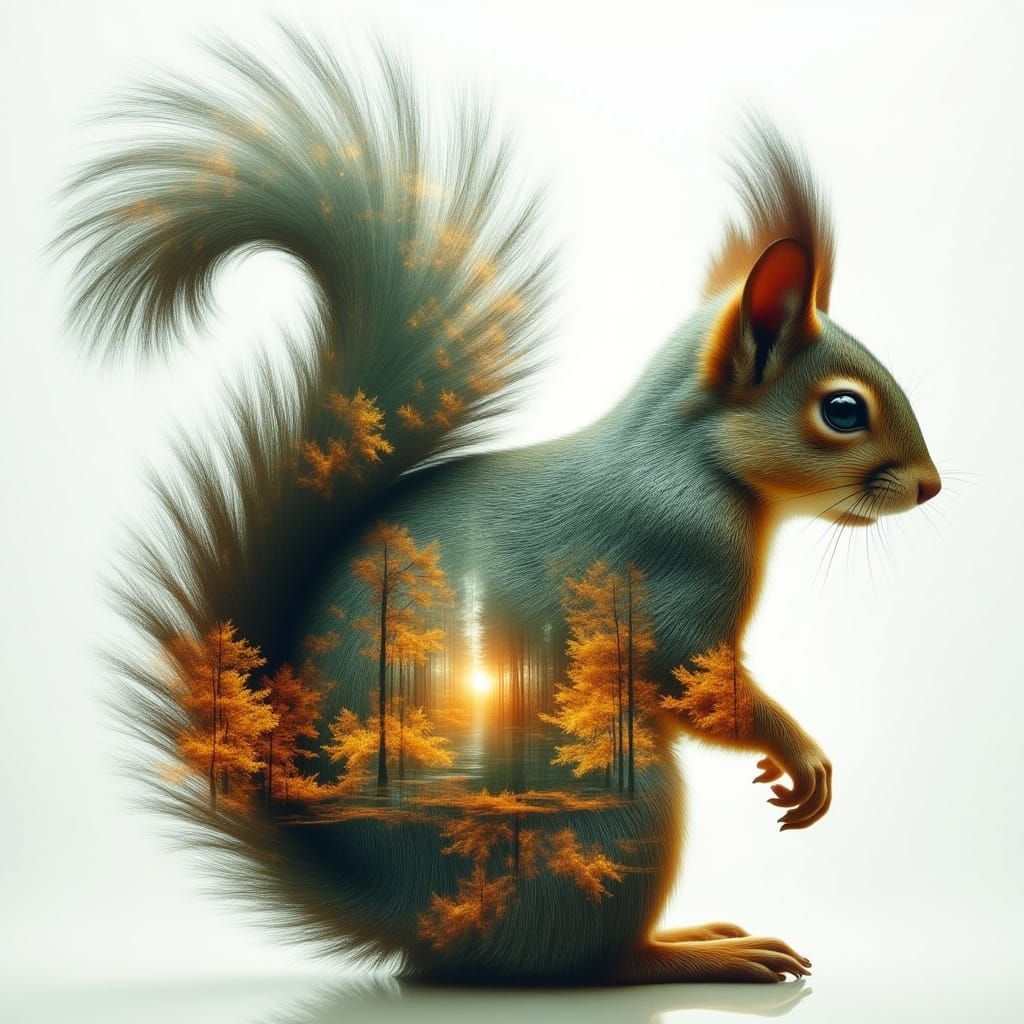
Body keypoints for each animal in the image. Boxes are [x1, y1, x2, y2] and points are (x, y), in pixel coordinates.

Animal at [53, 28, 942, 987]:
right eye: (842, 410)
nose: (931, 485)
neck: (697, 461)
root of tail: (407, 917)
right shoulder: (673, 559)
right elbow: (692, 680)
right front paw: (802, 756)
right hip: (612, 801)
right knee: (593, 960)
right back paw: (696, 953)